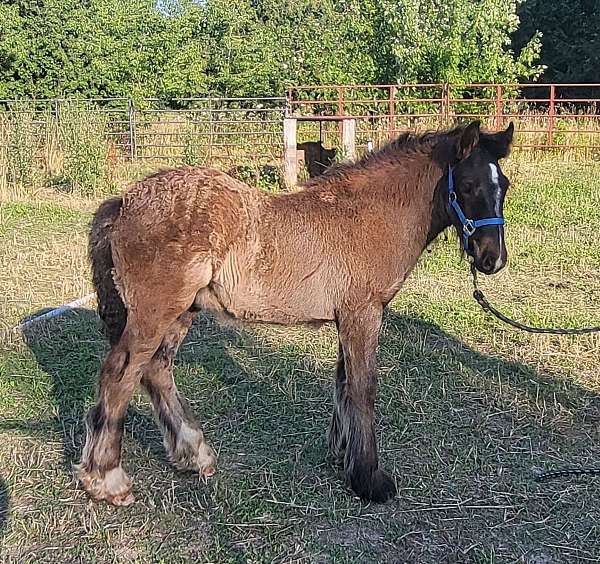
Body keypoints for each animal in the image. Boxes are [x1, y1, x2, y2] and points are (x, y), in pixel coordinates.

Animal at [77, 120, 512, 506]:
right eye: (468, 186)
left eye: (503, 186)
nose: (492, 259)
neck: (370, 216)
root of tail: (124, 202)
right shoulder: (364, 313)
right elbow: (363, 387)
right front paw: (369, 478)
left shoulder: (350, 317)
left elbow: (343, 383)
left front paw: (342, 454)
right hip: (155, 312)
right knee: (120, 374)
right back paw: (108, 480)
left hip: (181, 312)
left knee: (156, 370)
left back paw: (194, 455)